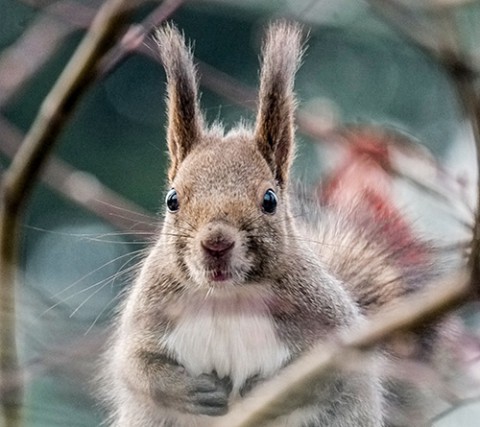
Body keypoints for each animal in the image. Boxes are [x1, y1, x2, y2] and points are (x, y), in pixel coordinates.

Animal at [100, 20, 446, 427]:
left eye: (270, 200)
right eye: (173, 199)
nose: (216, 243)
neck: (229, 298)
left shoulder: (329, 325)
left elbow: (329, 376)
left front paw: (268, 390)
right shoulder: (149, 314)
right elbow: (136, 366)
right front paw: (192, 391)